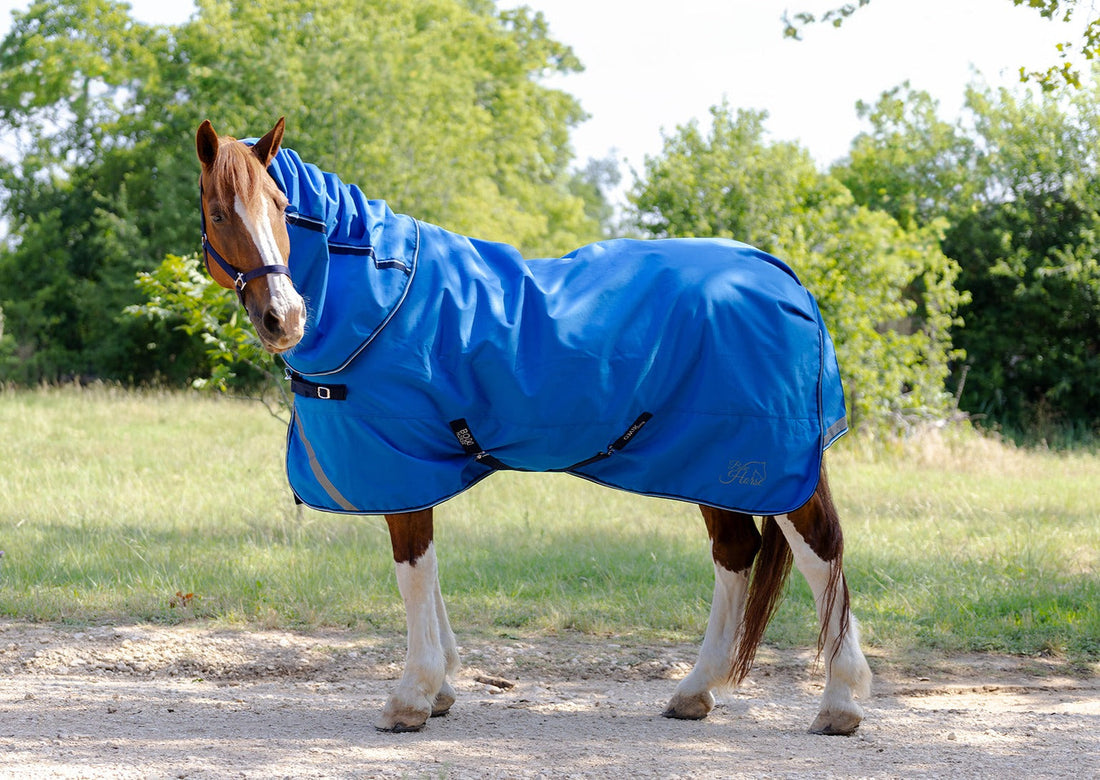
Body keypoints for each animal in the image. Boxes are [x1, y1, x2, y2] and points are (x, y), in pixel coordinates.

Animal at [195, 117, 872, 734]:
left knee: (819, 553)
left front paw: (412, 697)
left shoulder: (401, 465)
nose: (283, 316)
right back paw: (694, 692)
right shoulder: (416, 472)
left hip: (767, 463)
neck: (382, 297)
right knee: (736, 553)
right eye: (221, 213)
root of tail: (780, 274)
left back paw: (839, 701)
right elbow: (429, 577)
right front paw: (443, 688)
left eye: (280, 206)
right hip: (710, 464)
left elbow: (413, 572)